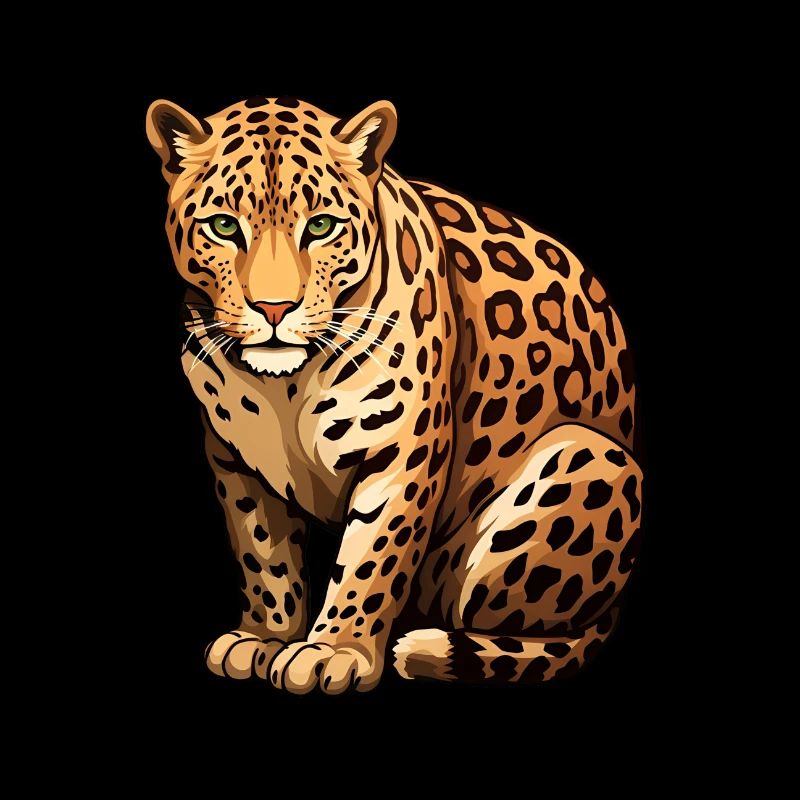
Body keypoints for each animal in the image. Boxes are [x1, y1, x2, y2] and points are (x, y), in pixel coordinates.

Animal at [146, 95, 643, 694]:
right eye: (222, 226)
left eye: (321, 226)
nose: (273, 308)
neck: (283, 387)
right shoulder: (233, 456)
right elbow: (263, 555)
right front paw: (265, 636)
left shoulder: (403, 448)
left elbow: (371, 557)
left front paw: (334, 650)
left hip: (591, 458)